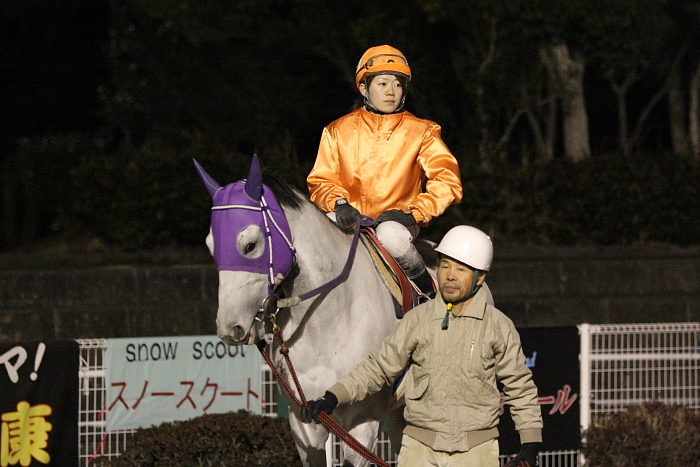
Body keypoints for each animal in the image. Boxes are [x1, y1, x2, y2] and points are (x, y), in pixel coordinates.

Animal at [194, 158, 408, 467]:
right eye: (211, 248)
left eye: (249, 245)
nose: (229, 328)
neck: (328, 323)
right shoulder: (305, 420)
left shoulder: (363, 419)